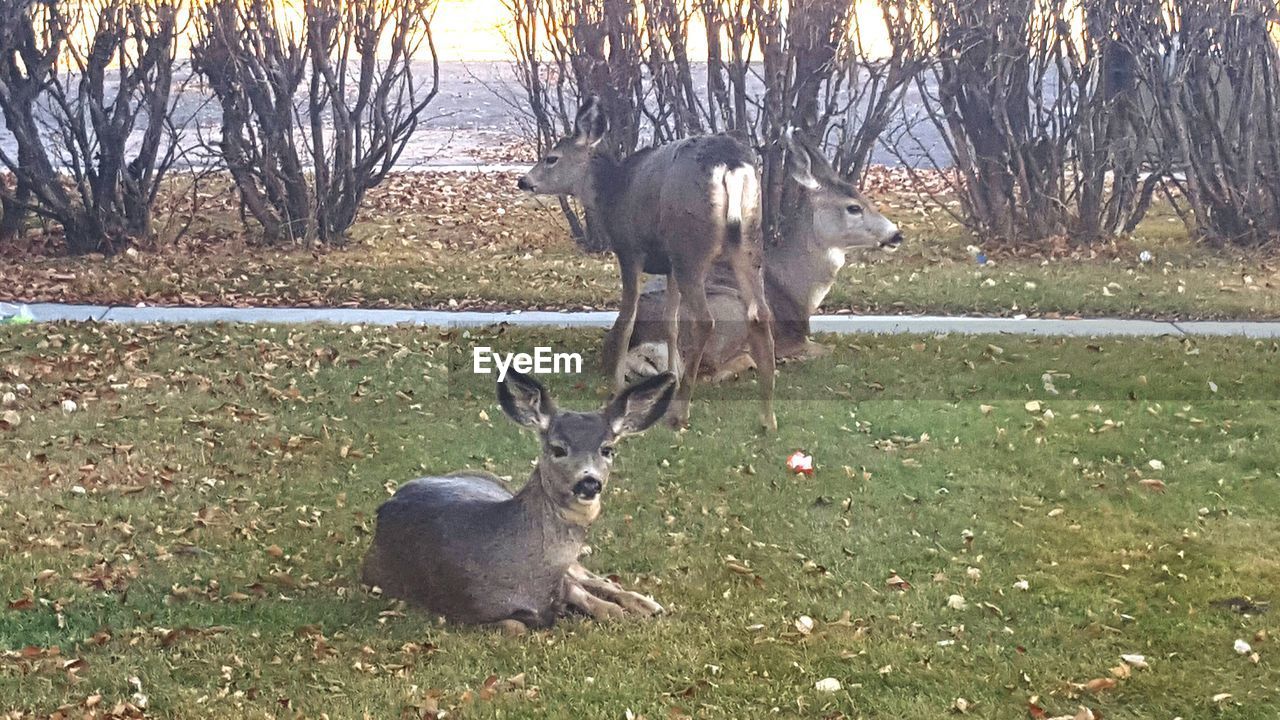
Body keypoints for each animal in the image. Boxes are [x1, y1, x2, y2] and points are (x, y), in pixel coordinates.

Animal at [360, 368, 675, 627]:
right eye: (558, 448)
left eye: (607, 449)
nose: (589, 482)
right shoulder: (464, 607)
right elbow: (517, 625)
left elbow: (593, 600)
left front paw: (621, 609)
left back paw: (649, 604)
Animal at [514, 96, 773, 430]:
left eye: (551, 158)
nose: (523, 181)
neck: (612, 195)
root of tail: (730, 164)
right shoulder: (668, 265)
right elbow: (670, 323)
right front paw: (670, 377)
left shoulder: (629, 250)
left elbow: (627, 318)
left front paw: (615, 387)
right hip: (748, 240)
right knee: (760, 313)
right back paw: (768, 419)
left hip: (690, 245)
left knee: (705, 319)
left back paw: (681, 414)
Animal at [624, 127, 906, 381]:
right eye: (853, 207)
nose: (896, 234)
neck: (797, 289)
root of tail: (644, 345)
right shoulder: (793, 338)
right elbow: (827, 349)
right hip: (731, 308)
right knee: (709, 371)